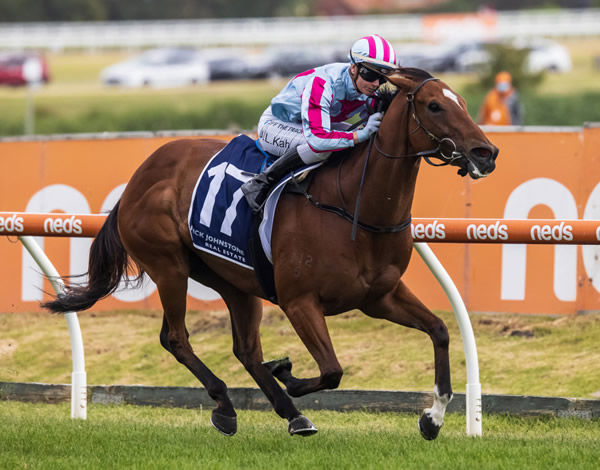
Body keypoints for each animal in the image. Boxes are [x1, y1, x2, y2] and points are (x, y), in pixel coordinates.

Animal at [44, 69, 500, 440]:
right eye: (434, 105)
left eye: (461, 101)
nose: (486, 153)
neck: (353, 204)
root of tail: (139, 177)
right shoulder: (300, 302)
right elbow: (332, 370)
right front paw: (289, 374)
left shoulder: (379, 296)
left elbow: (440, 331)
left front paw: (433, 418)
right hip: (168, 266)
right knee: (177, 337)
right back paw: (228, 405)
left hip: (232, 279)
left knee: (244, 349)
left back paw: (290, 414)